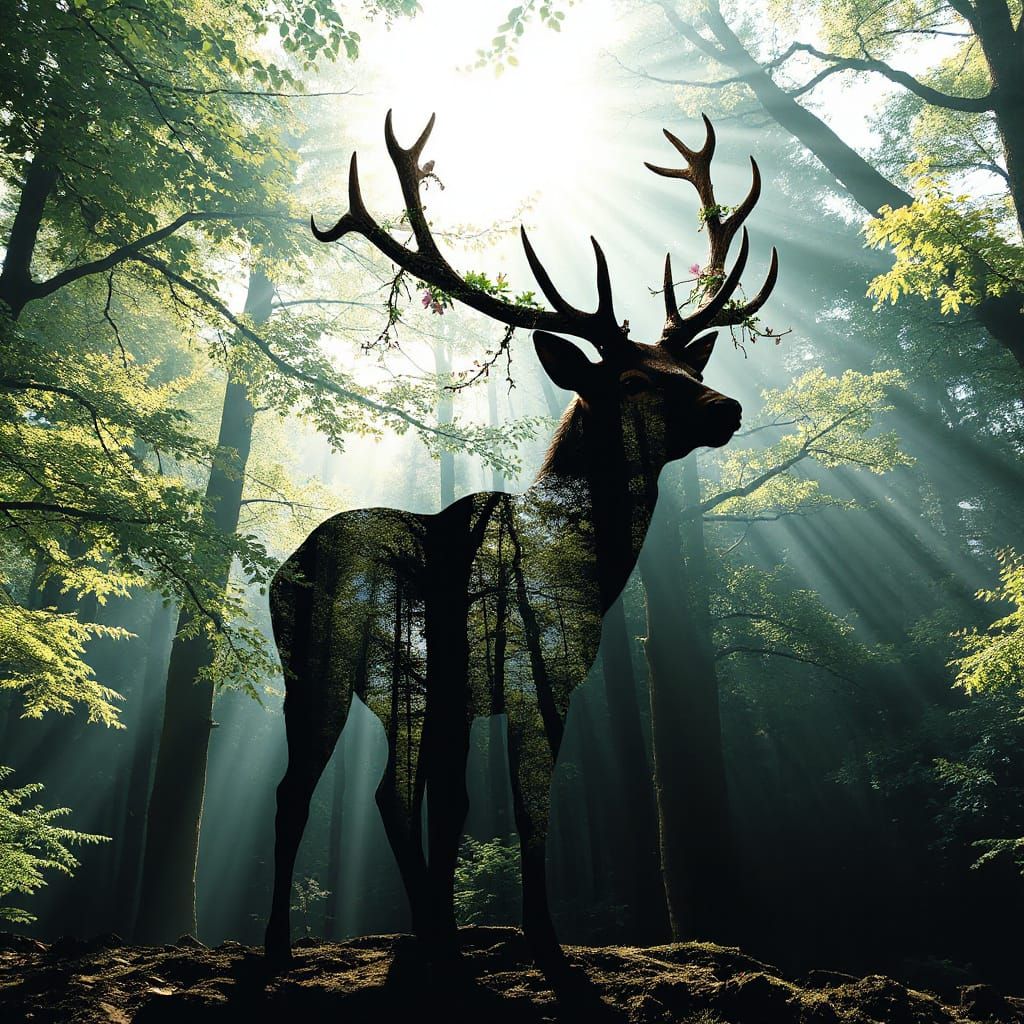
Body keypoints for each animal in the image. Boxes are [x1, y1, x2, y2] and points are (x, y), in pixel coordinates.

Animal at [264, 111, 778, 985]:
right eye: (632, 380)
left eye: (683, 361)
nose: (728, 406)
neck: (563, 564)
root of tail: (280, 567)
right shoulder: (502, 676)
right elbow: (502, 804)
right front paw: (514, 944)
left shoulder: (520, 686)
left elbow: (495, 806)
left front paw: (493, 941)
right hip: (316, 664)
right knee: (296, 788)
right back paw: (274, 949)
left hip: (399, 693)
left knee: (387, 792)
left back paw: (416, 932)